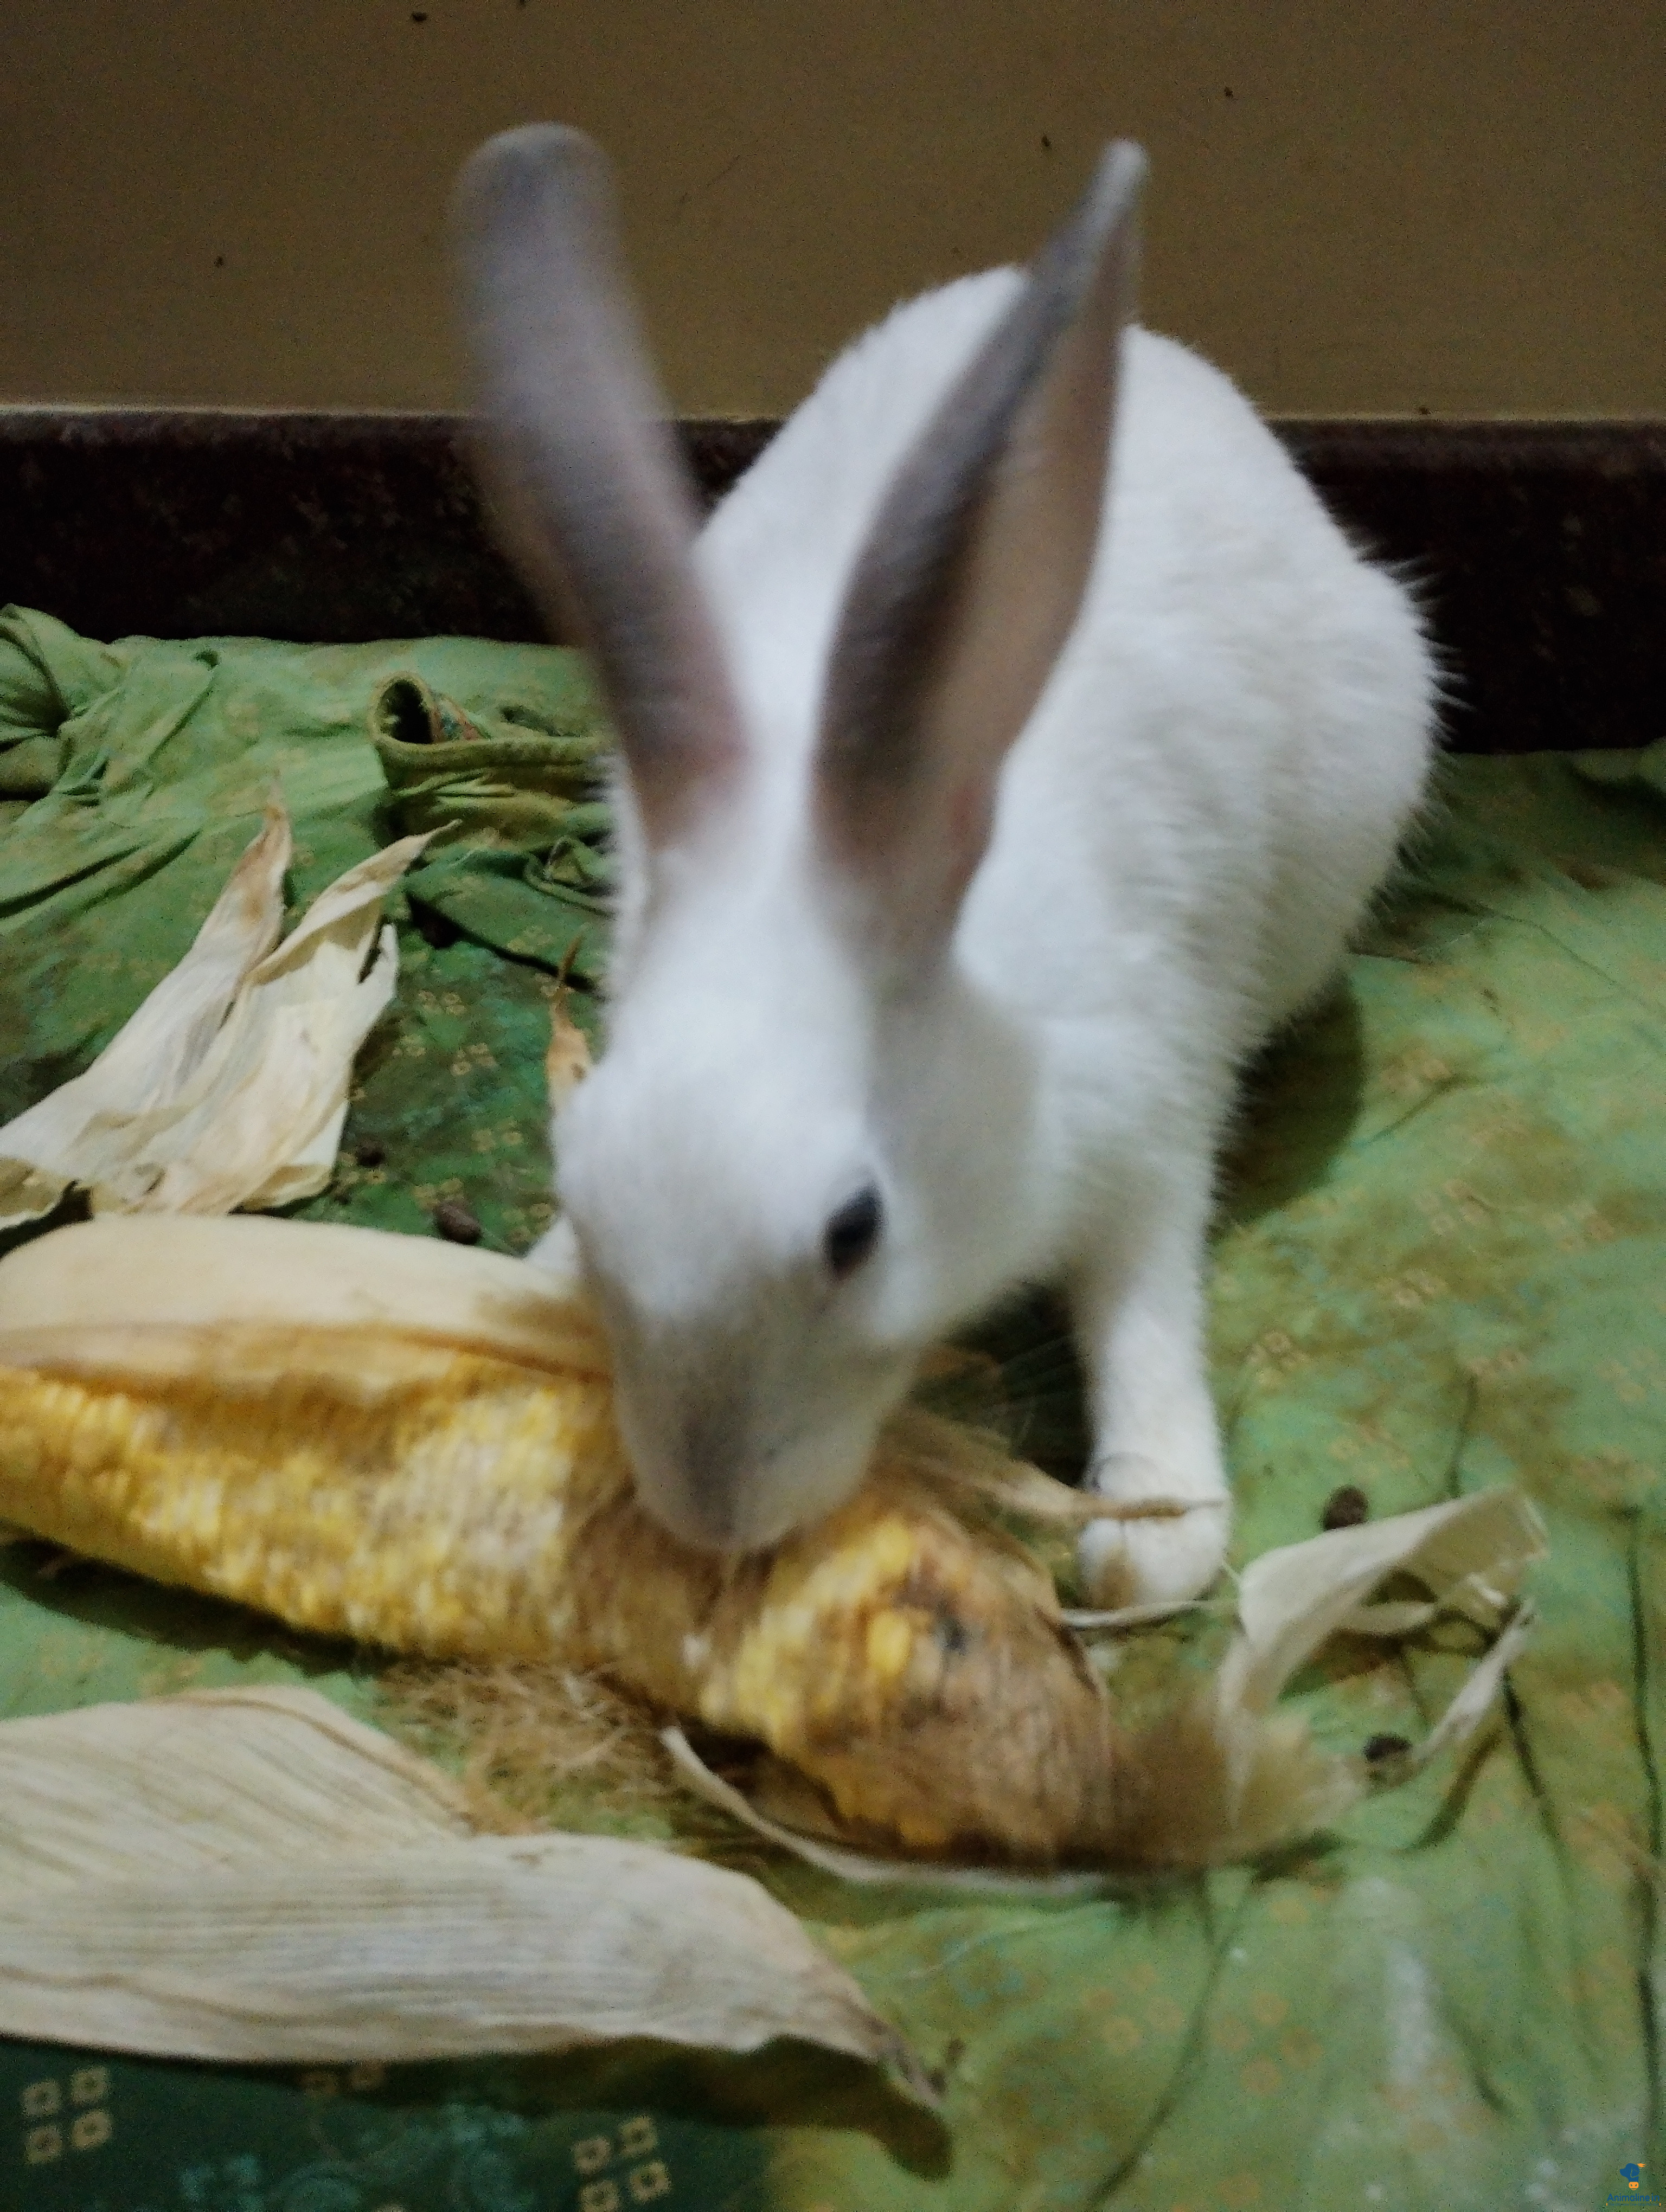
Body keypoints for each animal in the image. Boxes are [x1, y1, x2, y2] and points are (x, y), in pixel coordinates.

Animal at [455, 124, 1436, 1607]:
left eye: (854, 1229)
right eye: (585, 1186)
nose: (711, 1516)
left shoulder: (1146, 1125)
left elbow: (1141, 1304)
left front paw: (1152, 1532)